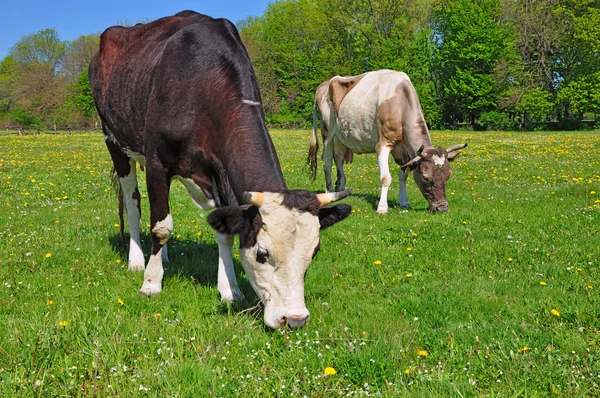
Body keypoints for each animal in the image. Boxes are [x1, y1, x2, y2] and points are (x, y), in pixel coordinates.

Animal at [89, 11, 352, 330]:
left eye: (314, 252)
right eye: (262, 254)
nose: (295, 319)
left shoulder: (220, 172)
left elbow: (223, 231)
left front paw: (230, 289)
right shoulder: (156, 162)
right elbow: (161, 226)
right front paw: (151, 284)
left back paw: (163, 258)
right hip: (113, 139)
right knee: (134, 203)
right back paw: (138, 261)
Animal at [308, 70, 466, 215]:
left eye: (448, 175)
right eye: (425, 177)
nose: (442, 208)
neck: (400, 102)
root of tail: (323, 85)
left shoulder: (404, 150)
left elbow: (403, 175)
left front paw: (404, 202)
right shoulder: (383, 144)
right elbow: (385, 178)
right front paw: (382, 208)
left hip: (341, 136)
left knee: (339, 158)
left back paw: (340, 188)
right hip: (327, 132)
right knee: (327, 161)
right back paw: (329, 191)